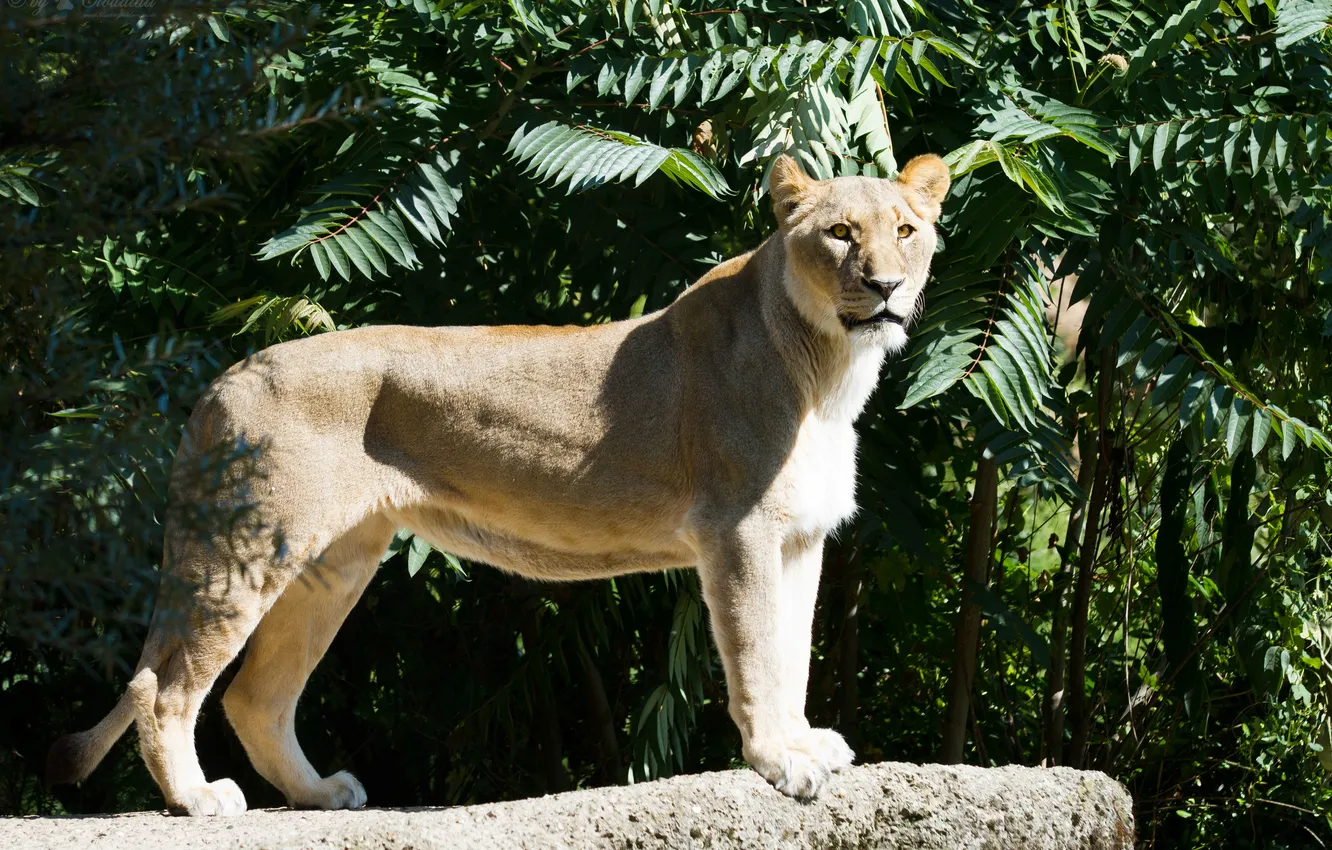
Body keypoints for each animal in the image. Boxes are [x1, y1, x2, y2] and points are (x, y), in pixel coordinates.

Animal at [47, 152, 949, 815]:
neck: (829, 369)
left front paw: (804, 743)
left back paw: (320, 794)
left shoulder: (798, 536)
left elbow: (794, 651)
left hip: (335, 564)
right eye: (840, 234)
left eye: (907, 231)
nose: (886, 287)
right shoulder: (740, 530)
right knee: (163, 687)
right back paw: (198, 800)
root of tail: (225, 376)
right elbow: (760, 653)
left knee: (256, 697)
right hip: (245, 552)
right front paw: (776, 762)